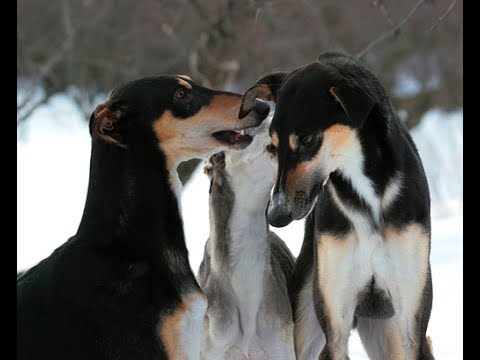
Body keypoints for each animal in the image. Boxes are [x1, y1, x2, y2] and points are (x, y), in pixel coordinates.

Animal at [240, 51, 436, 360]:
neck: (364, 196)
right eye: (272, 146)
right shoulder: (335, 325)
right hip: (305, 321)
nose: (276, 215)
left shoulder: (410, 322)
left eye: (307, 139)